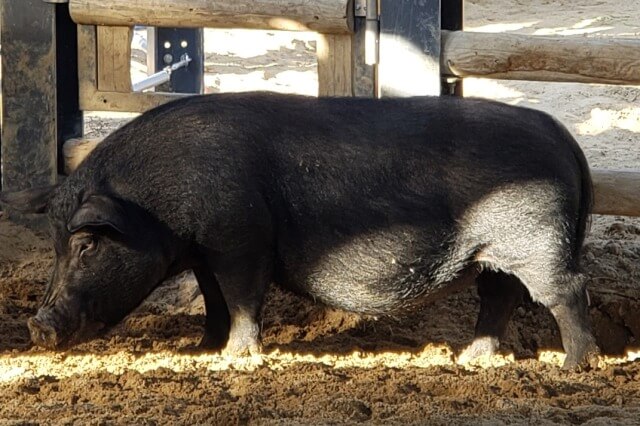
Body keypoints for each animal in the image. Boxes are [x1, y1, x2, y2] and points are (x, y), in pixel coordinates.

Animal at [2, 93, 596, 370]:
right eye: (54, 245)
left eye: (85, 244)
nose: (36, 326)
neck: (160, 203)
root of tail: (559, 134)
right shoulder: (207, 253)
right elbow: (214, 301)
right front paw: (202, 348)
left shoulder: (241, 240)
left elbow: (243, 297)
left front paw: (237, 356)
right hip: (493, 255)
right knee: (500, 299)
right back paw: (470, 359)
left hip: (535, 241)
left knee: (567, 292)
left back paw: (572, 366)